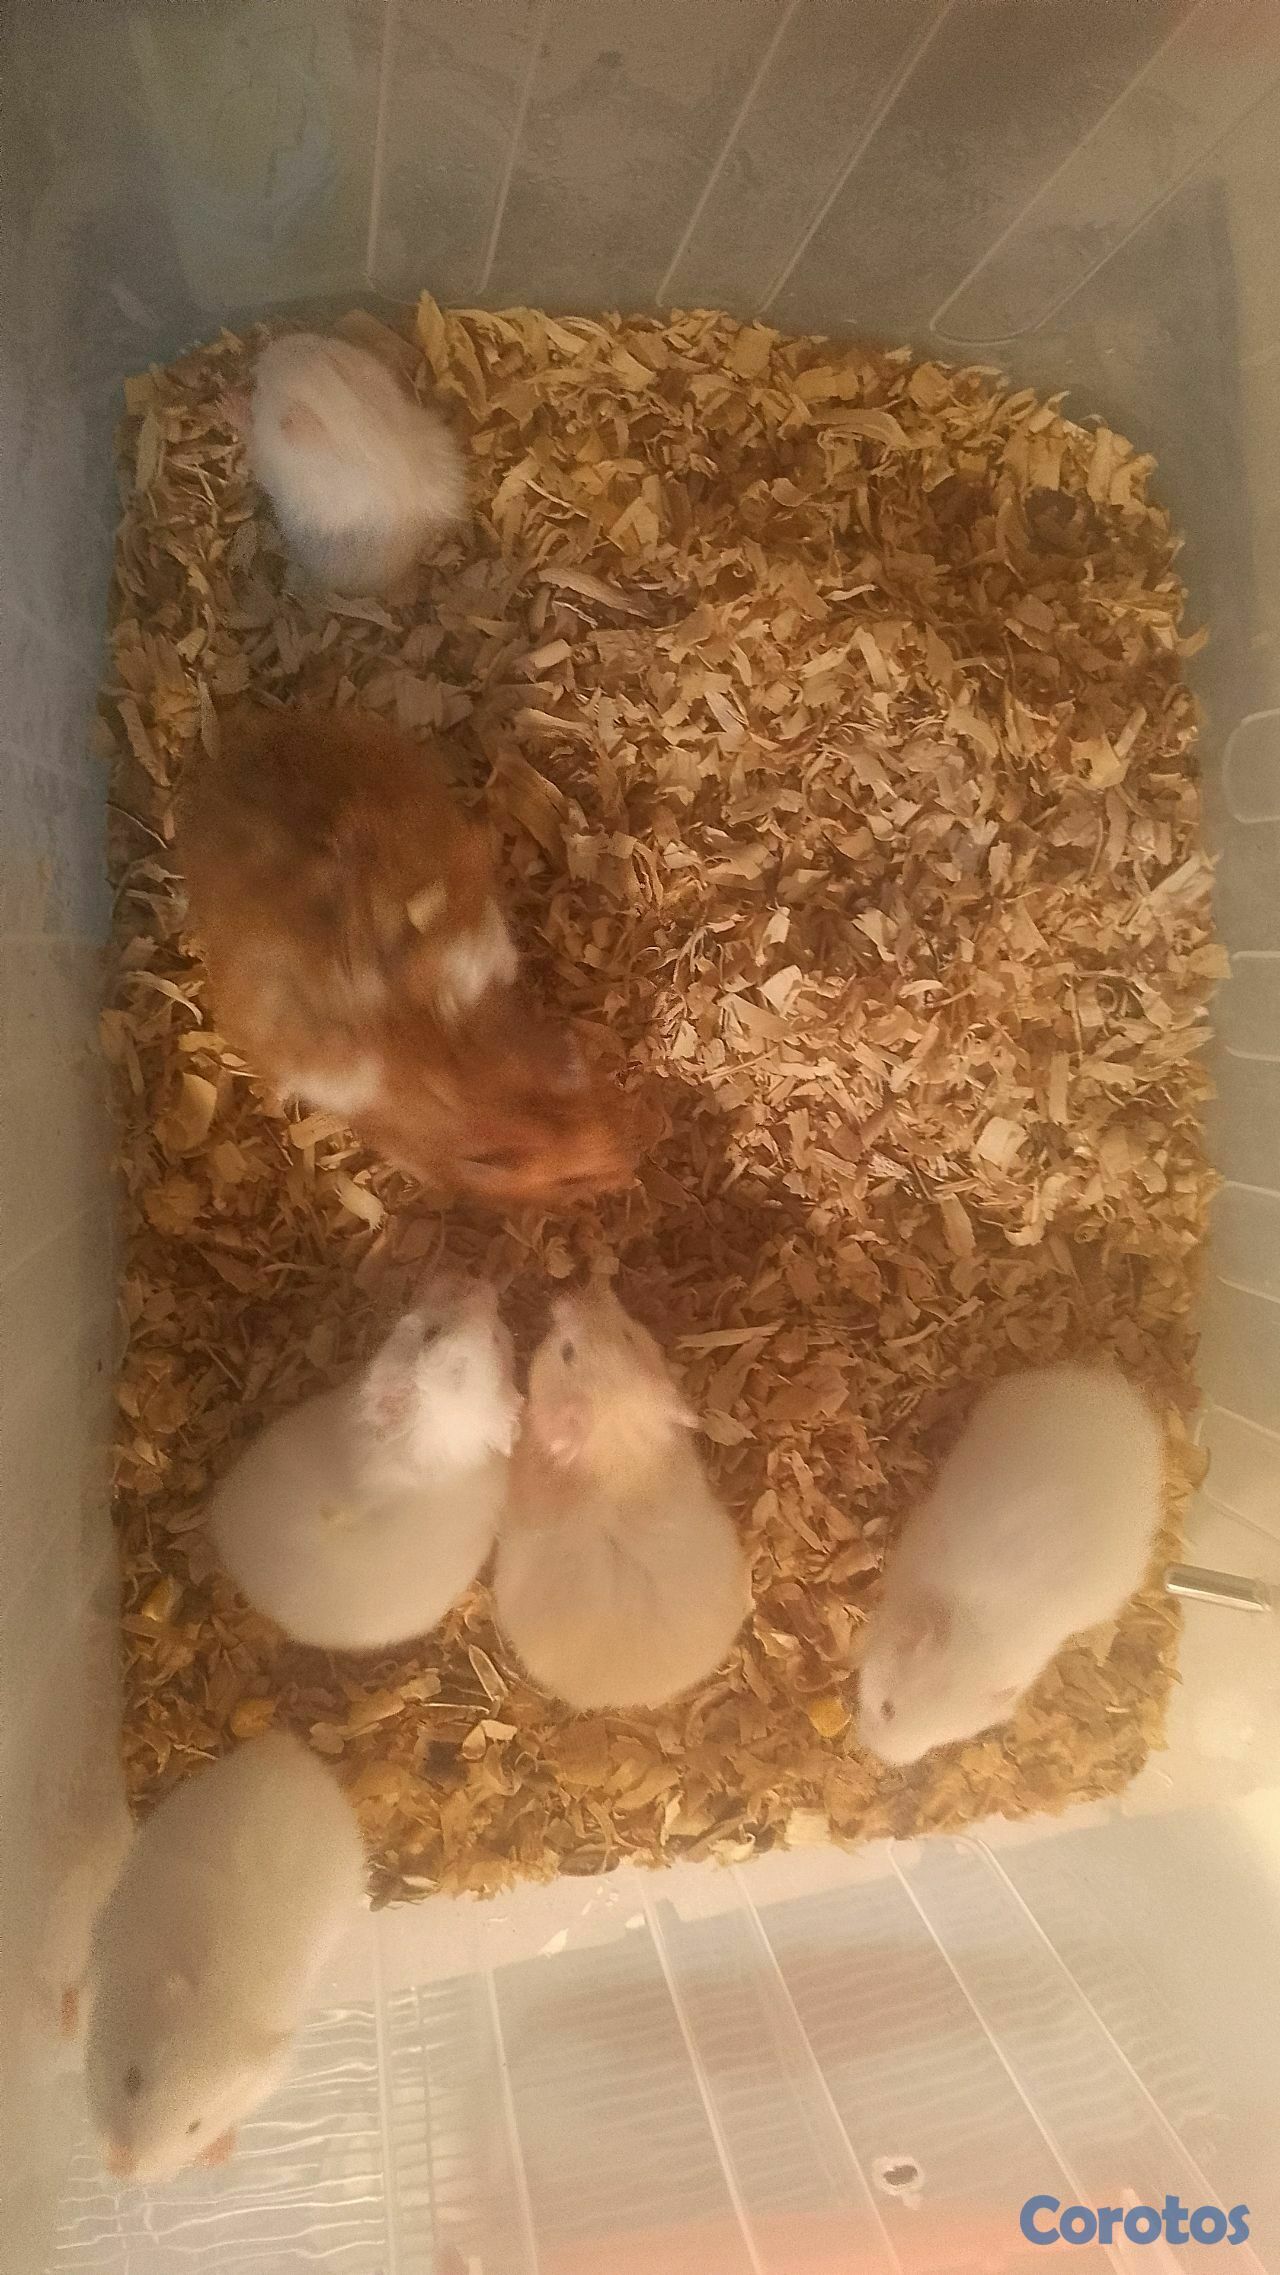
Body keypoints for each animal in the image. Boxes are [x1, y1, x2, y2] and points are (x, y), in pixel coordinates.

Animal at [85, 1733, 366, 2185]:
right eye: (131, 2080)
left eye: (194, 2126)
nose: (124, 2171)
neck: (219, 1993)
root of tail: (292, 1751)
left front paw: (218, 2155)